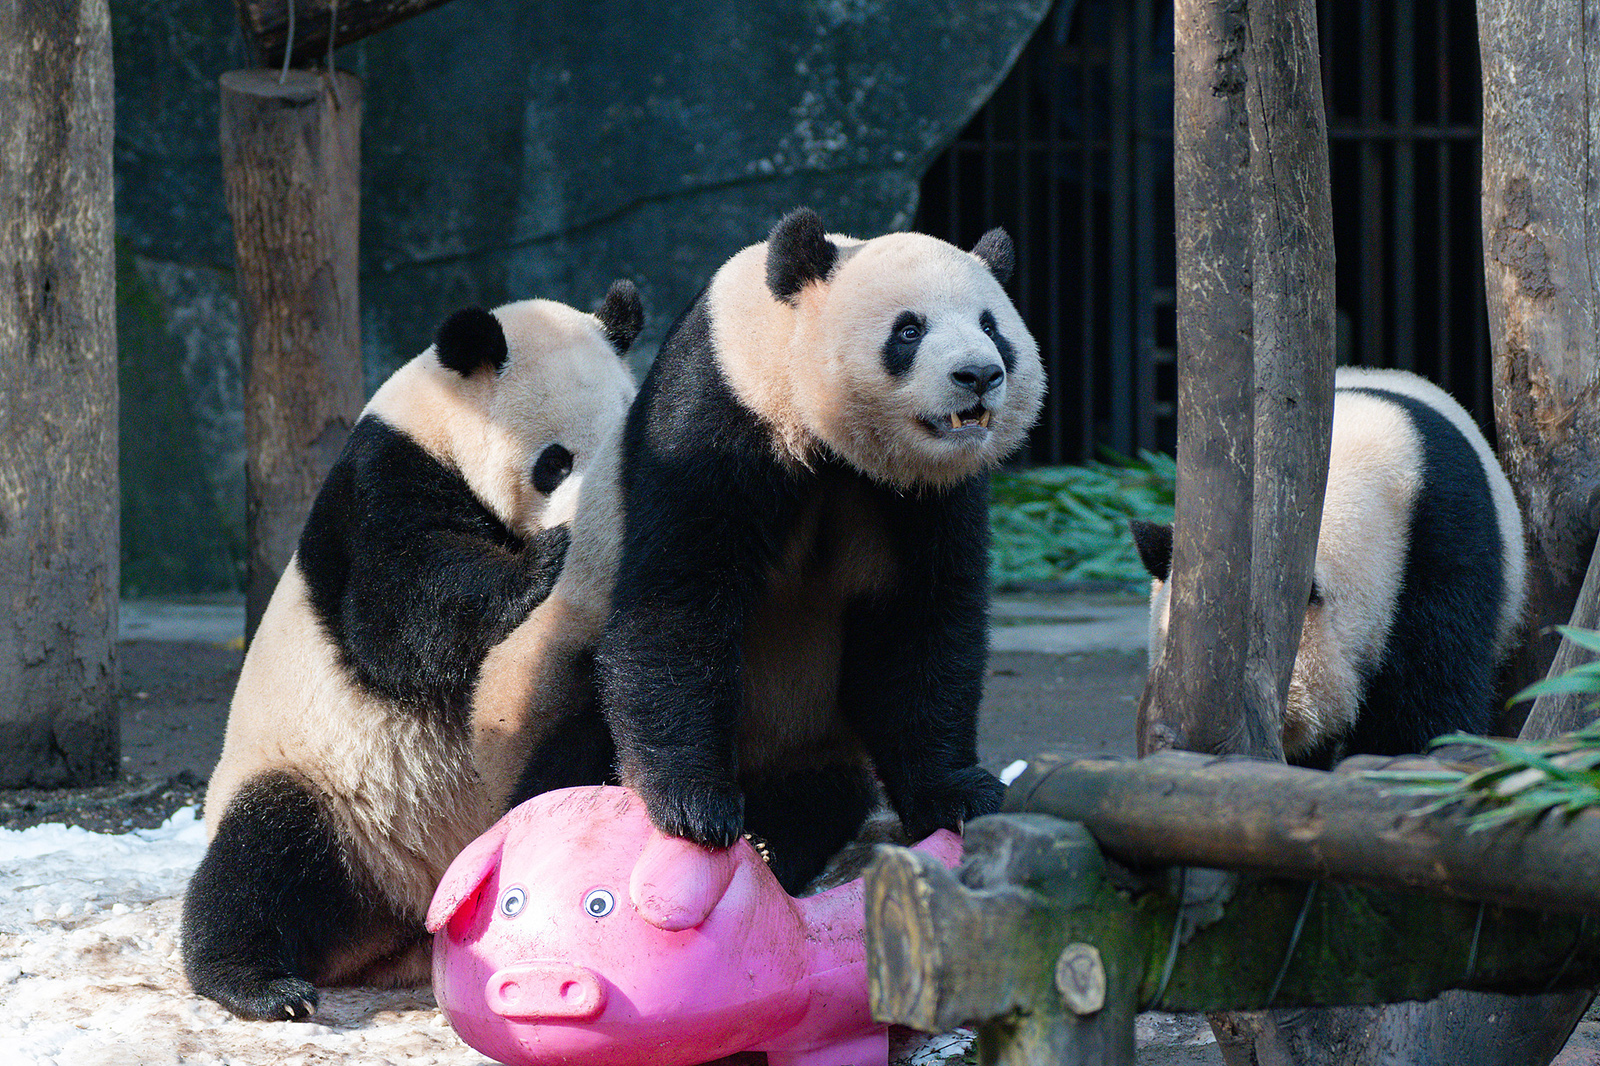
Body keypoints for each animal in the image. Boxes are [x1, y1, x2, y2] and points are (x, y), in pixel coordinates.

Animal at [181, 280, 643, 1011]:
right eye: (556, 462)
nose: (599, 528)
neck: (441, 416)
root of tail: (404, 925)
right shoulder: (383, 483)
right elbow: (397, 611)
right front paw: (545, 560)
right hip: (332, 797)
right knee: (263, 856)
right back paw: (259, 983)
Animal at [502, 208, 1049, 889]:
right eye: (909, 329)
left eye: (991, 326)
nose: (979, 375)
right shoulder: (716, 415)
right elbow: (680, 596)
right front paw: (695, 805)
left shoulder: (929, 494)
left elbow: (921, 622)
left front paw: (961, 794)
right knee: (570, 741)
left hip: (813, 734)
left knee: (822, 793)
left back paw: (778, 847)